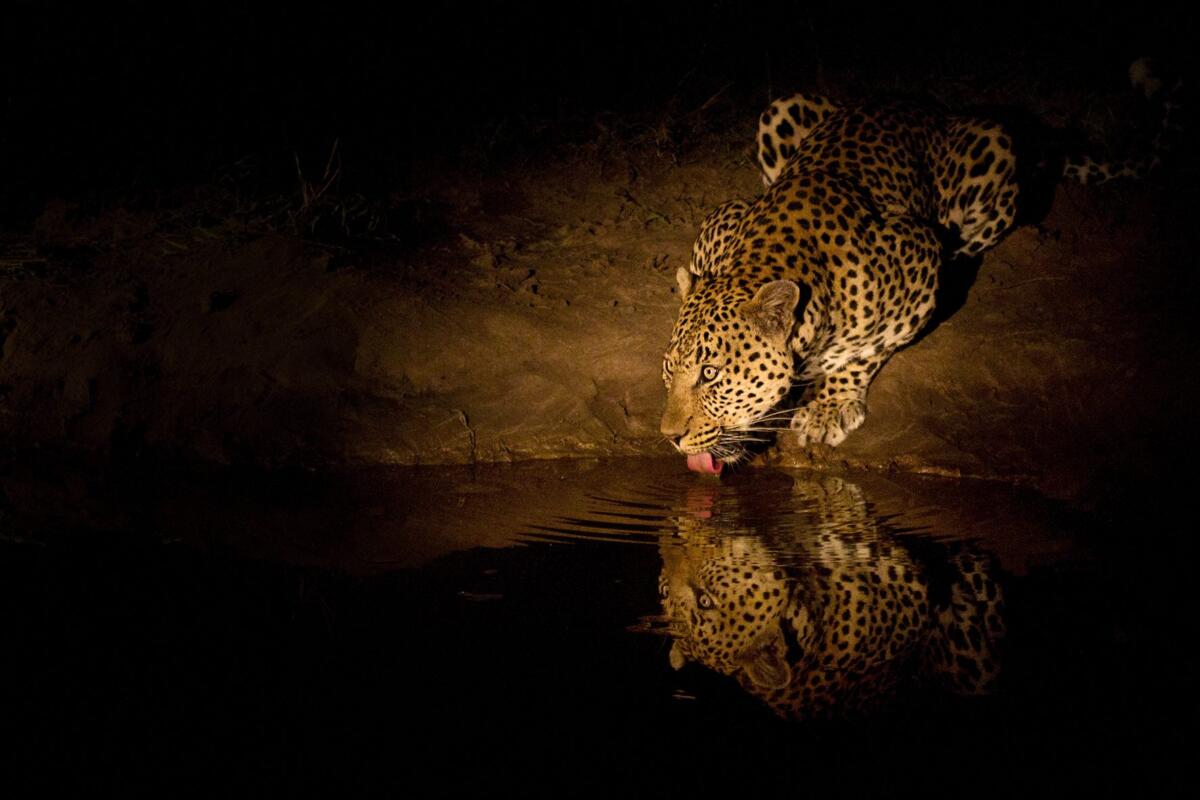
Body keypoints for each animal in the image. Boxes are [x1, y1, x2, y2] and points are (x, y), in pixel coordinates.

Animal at [660, 59, 1182, 474]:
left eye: (711, 374)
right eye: (668, 367)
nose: (670, 437)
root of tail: (928, 108)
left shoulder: (918, 260)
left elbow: (864, 349)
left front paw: (831, 405)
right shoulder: (722, 219)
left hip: (992, 148)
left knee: (989, 224)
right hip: (783, 107)